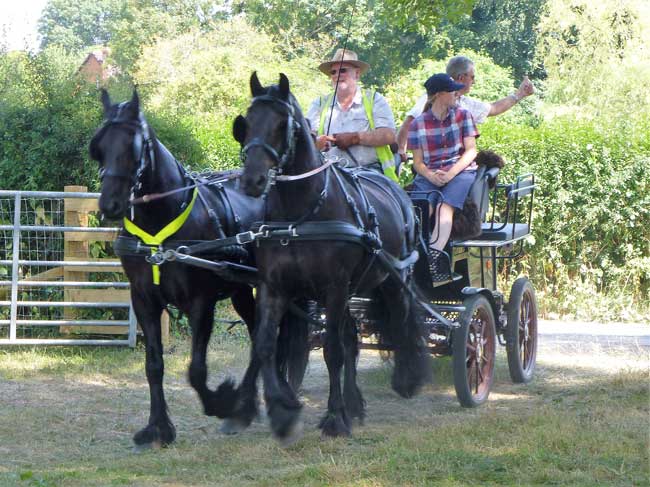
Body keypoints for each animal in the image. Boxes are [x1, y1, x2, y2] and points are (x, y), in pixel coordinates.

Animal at [90, 88, 308, 450]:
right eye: (100, 147)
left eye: (133, 147)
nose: (110, 205)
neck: (161, 223)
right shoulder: (143, 300)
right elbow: (154, 365)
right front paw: (158, 428)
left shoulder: (201, 303)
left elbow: (196, 370)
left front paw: (220, 401)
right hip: (240, 290)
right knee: (258, 336)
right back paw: (249, 405)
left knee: (271, 337)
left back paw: (250, 404)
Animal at [233, 73, 430, 442]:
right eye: (246, 123)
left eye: (282, 124)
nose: (252, 180)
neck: (301, 215)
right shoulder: (274, 287)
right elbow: (265, 344)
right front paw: (279, 414)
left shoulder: (333, 288)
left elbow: (332, 350)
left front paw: (335, 418)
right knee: (353, 337)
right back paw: (355, 402)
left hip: (393, 280)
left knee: (401, 320)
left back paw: (406, 379)